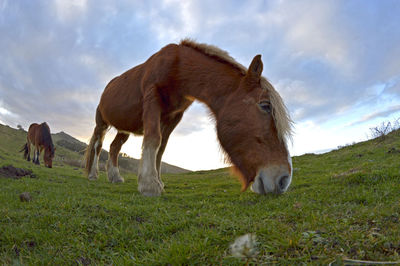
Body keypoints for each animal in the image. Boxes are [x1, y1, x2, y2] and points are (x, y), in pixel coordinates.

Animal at [84, 40, 292, 197]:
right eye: (265, 105)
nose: (284, 179)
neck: (177, 66)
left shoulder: (172, 117)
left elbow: (161, 148)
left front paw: (158, 181)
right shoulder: (153, 98)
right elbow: (153, 139)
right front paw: (149, 185)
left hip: (124, 128)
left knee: (114, 148)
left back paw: (115, 177)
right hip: (101, 124)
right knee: (98, 146)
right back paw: (93, 174)